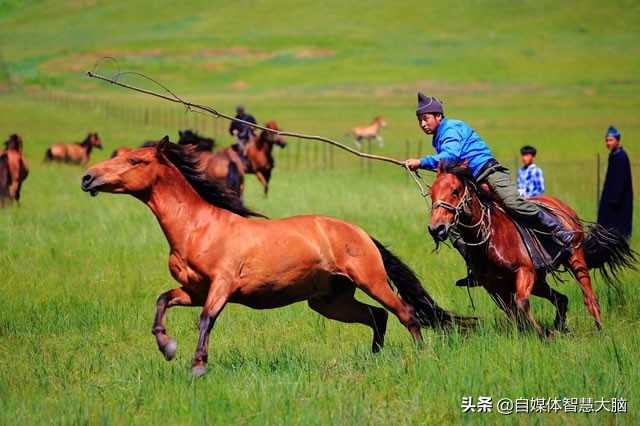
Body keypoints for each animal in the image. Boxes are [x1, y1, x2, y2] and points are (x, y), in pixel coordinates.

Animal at [79, 137, 470, 376]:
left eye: (135, 160)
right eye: (115, 155)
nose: (87, 178)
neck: (198, 227)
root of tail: (360, 233)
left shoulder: (221, 287)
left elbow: (206, 321)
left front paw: (197, 365)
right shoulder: (194, 291)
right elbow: (162, 301)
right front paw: (167, 347)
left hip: (370, 281)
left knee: (404, 313)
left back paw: (420, 356)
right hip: (328, 301)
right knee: (377, 316)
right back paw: (374, 358)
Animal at [428, 163, 632, 336]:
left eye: (455, 191)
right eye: (431, 193)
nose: (436, 228)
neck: (488, 236)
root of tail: (563, 208)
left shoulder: (524, 271)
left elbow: (521, 304)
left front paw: (542, 333)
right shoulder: (494, 287)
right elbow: (512, 312)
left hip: (575, 259)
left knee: (588, 295)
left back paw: (598, 328)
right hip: (539, 281)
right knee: (561, 299)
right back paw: (560, 327)